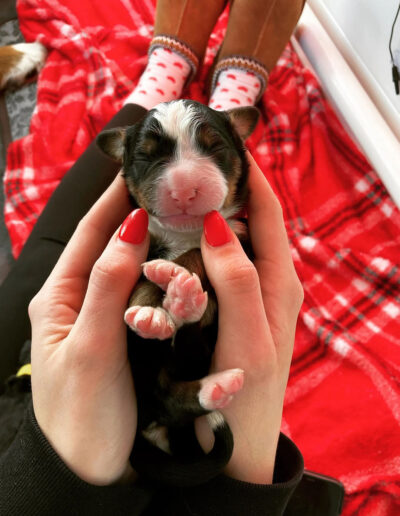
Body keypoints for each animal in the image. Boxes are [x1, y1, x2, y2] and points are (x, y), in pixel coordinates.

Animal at [97, 101, 260, 488]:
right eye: (145, 156)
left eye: (215, 147)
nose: (185, 189)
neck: (184, 235)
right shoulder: (139, 240)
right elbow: (142, 280)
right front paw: (150, 314)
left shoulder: (238, 239)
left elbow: (198, 254)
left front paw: (176, 274)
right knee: (168, 396)